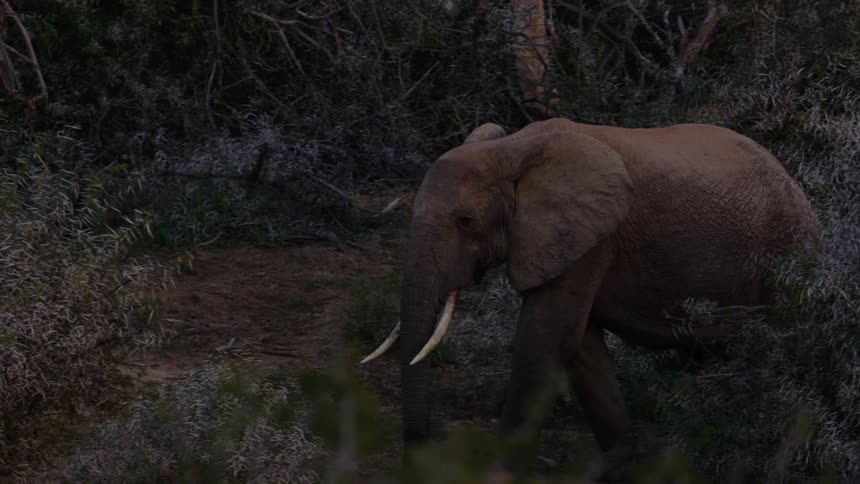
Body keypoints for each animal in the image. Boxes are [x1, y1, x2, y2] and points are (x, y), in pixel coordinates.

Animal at [360, 118, 819, 479]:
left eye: (466, 221)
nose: (416, 464)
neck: (513, 150)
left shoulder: (589, 239)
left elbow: (544, 341)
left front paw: (500, 474)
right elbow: (579, 343)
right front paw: (610, 465)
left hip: (787, 251)